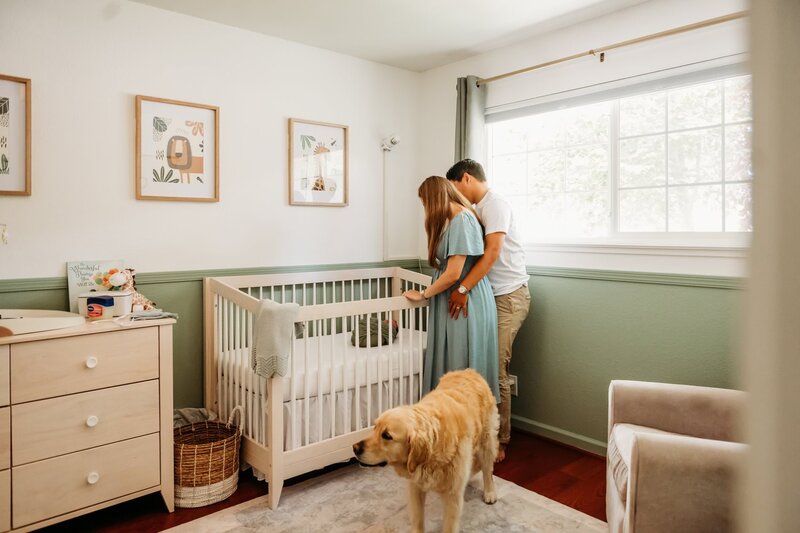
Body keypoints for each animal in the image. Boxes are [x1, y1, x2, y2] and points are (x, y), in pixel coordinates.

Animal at [354, 370, 496, 532]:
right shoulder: (415, 487)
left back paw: (490, 492)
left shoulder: (453, 496)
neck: (432, 454)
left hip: (486, 441)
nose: (355, 448)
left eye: (387, 435)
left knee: (488, 469)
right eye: (374, 427)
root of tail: (470, 371)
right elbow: (417, 519)